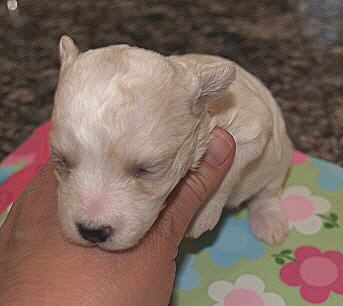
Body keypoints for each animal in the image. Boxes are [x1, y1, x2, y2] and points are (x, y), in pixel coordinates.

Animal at [50, 35, 292, 251]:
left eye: (147, 169)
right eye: (61, 161)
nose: (92, 232)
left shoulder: (253, 126)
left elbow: (231, 170)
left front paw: (202, 216)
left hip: (279, 161)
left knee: (268, 192)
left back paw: (270, 224)